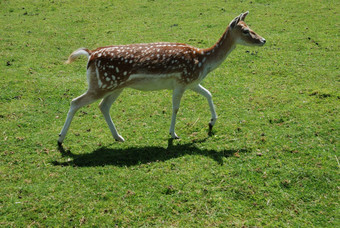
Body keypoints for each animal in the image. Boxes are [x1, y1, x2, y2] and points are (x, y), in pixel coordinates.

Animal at [57, 10, 266, 145]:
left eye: (250, 27)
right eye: (245, 30)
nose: (263, 40)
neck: (203, 61)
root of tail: (90, 55)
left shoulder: (192, 82)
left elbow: (209, 94)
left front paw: (211, 122)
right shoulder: (181, 81)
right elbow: (175, 107)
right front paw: (173, 134)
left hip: (116, 86)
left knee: (103, 106)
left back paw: (118, 137)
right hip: (102, 84)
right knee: (75, 102)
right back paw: (60, 139)